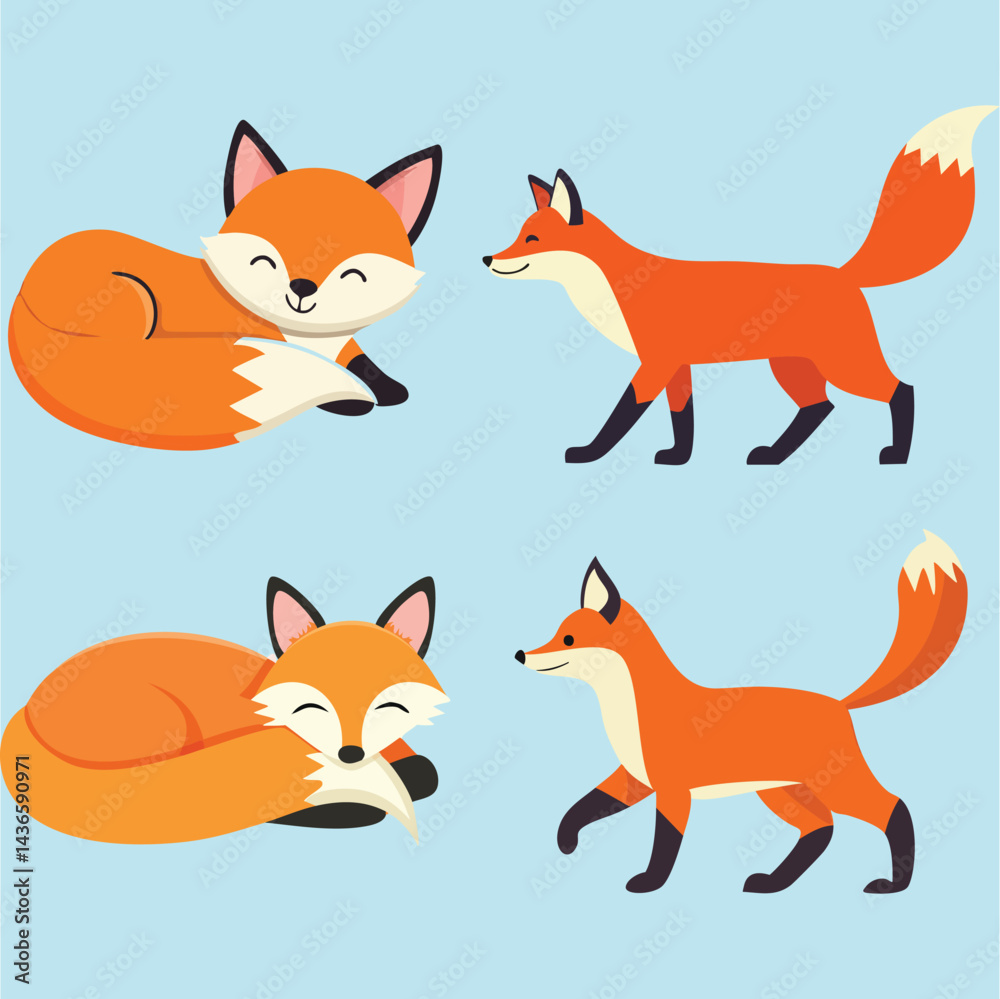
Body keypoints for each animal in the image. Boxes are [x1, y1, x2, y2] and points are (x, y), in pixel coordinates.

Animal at [9, 121, 442, 449]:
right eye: (264, 260)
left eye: (352, 274)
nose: (302, 287)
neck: (307, 337)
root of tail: (21, 291)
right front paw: (350, 402)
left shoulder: (343, 345)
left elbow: (364, 365)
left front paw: (389, 389)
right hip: (134, 301)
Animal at [485, 106, 996, 466]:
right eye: (518, 234)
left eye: (532, 239)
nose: (488, 258)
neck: (616, 289)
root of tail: (841, 271)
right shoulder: (676, 366)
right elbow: (683, 419)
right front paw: (678, 459)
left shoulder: (654, 364)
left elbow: (621, 416)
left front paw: (590, 454)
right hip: (791, 366)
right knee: (819, 407)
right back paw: (773, 455)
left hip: (843, 363)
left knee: (899, 390)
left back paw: (896, 455)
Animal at [514, 532, 967, 894]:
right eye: (557, 632)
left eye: (568, 638)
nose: (521, 654)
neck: (630, 711)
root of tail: (840, 702)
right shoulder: (634, 780)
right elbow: (583, 805)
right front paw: (566, 841)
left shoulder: (673, 791)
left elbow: (665, 843)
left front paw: (649, 883)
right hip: (781, 791)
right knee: (821, 829)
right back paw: (773, 883)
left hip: (834, 783)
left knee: (892, 807)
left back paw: (894, 884)